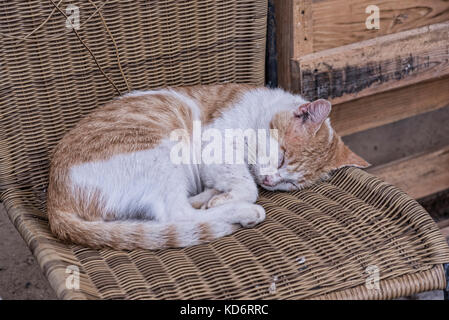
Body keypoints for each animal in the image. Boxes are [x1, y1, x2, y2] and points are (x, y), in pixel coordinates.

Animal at [47, 84, 368, 250]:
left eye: (291, 183)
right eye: (281, 158)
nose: (271, 181)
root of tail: (54, 201)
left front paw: (215, 195)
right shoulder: (214, 147)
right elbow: (247, 186)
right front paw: (231, 197)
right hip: (161, 156)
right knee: (176, 215)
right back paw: (242, 213)